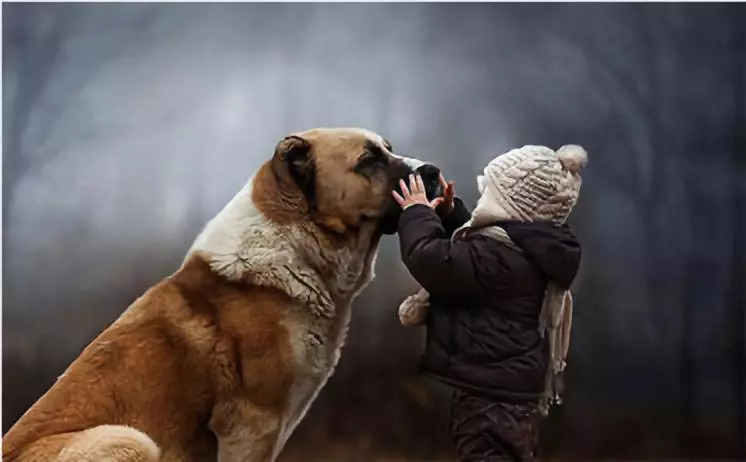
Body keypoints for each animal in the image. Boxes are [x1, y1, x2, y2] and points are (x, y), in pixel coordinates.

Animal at [2, 127, 438, 462]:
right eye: (368, 160)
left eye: (388, 148)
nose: (432, 171)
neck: (296, 244)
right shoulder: (251, 424)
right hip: (128, 439)